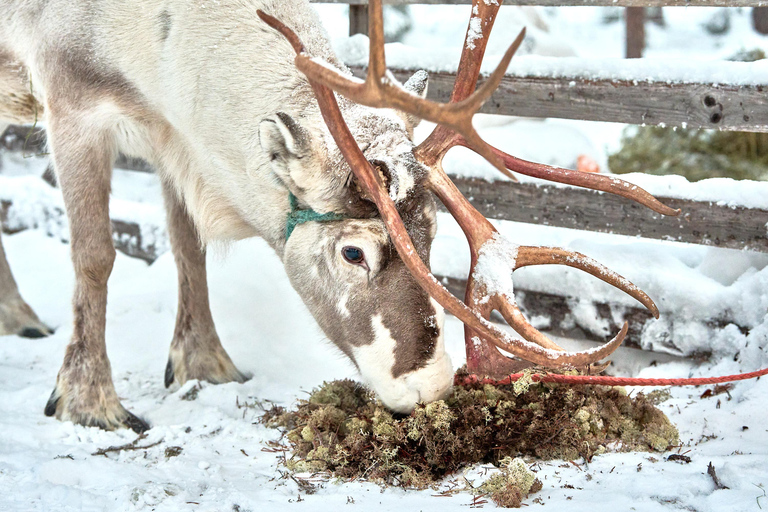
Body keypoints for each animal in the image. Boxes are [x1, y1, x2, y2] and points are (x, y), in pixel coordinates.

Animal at [0, 0, 677, 433]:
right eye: (354, 251)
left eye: (431, 235)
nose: (431, 387)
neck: (155, 43)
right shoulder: (71, 100)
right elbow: (95, 256)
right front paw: (87, 402)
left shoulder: (175, 136)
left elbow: (187, 247)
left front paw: (204, 364)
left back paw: (18, 316)